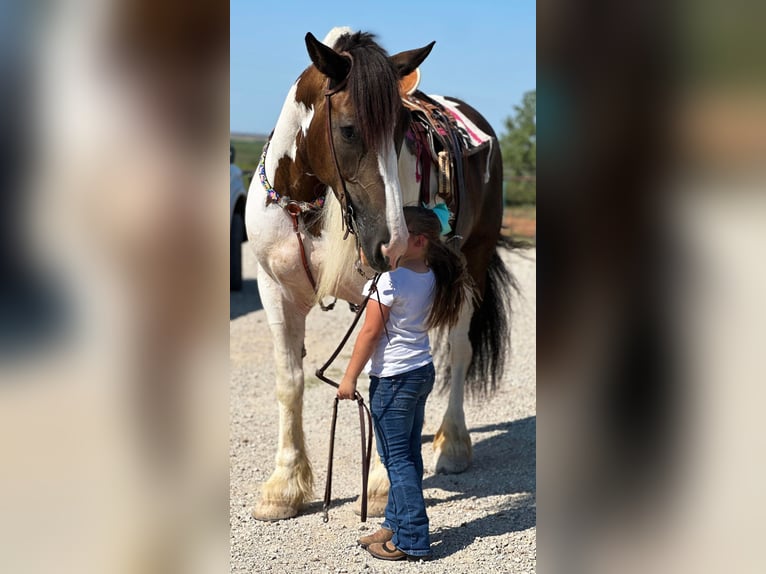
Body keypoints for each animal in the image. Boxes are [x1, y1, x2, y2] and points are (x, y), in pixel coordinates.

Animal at [244, 25, 516, 520]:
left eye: (401, 131)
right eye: (349, 129)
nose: (393, 242)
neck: (306, 206)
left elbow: (385, 378)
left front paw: (381, 486)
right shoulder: (275, 292)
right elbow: (289, 382)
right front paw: (284, 487)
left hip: (474, 263)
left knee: (458, 352)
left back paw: (452, 444)